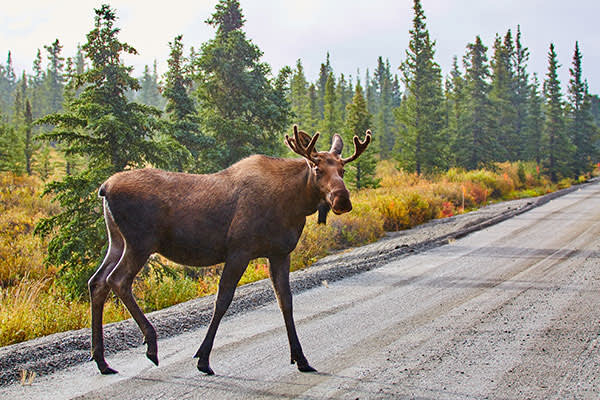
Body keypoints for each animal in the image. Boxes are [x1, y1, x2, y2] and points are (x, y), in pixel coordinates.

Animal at [88, 125, 370, 376]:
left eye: (343, 169)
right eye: (317, 168)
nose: (342, 199)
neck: (294, 204)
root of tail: (104, 188)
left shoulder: (279, 253)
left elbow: (285, 301)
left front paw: (301, 358)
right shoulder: (239, 250)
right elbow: (222, 300)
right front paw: (203, 359)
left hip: (117, 241)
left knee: (97, 281)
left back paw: (102, 361)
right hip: (140, 243)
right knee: (117, 280)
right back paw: (150, 345)